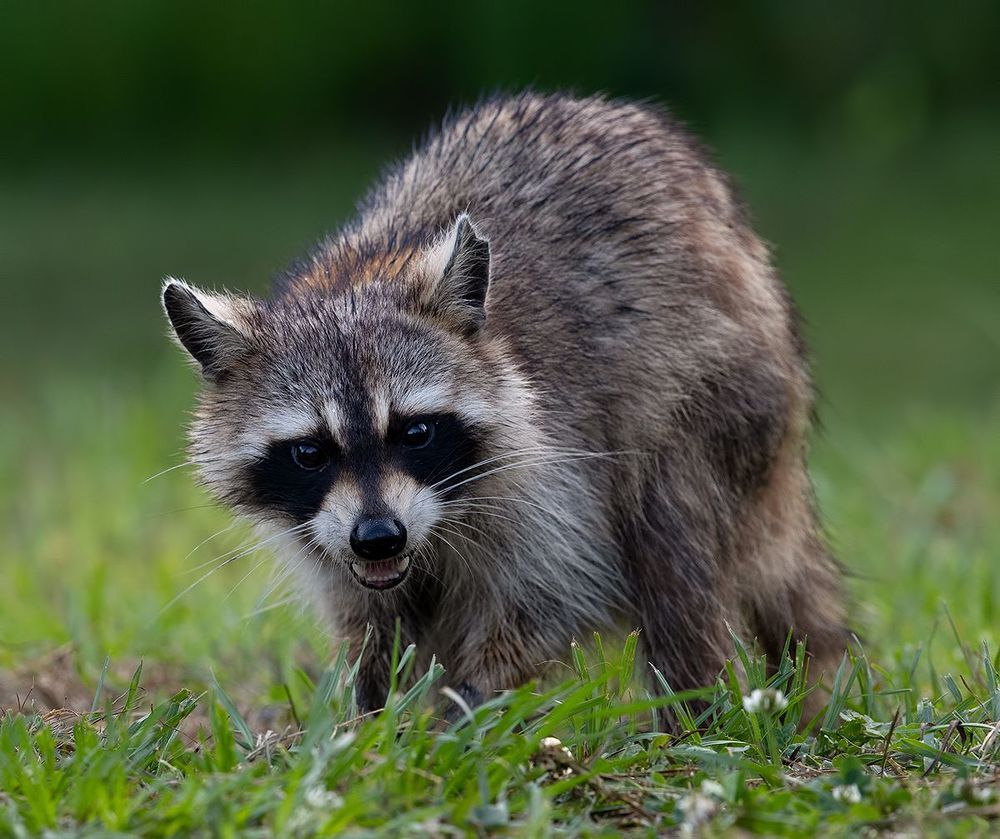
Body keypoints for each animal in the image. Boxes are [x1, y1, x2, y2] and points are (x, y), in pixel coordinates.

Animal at [162, 93, 847, 715]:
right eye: (309, 452)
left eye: (414, 431)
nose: (379, 538)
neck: (354, 281)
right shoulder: (324, 530)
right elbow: (370, 619)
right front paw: (371, 710)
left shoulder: (557, 460)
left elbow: (561, 585)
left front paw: (467, 698)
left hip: (719, 394)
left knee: (673, 538)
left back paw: (692, 706)